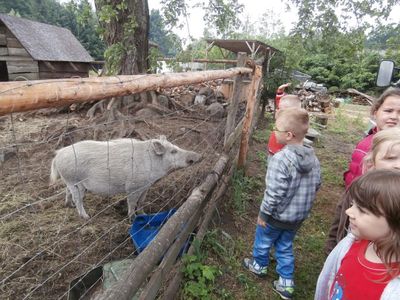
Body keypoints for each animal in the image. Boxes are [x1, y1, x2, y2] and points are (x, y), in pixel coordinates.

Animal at [48, 136, 202, 218]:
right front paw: (133, 218)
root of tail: (58, 155)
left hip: (69, 181)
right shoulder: (133, 187)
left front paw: (144, 214)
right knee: (78, 198)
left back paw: (69, 205)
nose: (198, 156)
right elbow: (132, 203)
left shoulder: (146, 186)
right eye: (173, 151)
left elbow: (142, 201)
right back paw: (86, 217)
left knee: (68, 192)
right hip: (74, 180)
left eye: (176, 147)